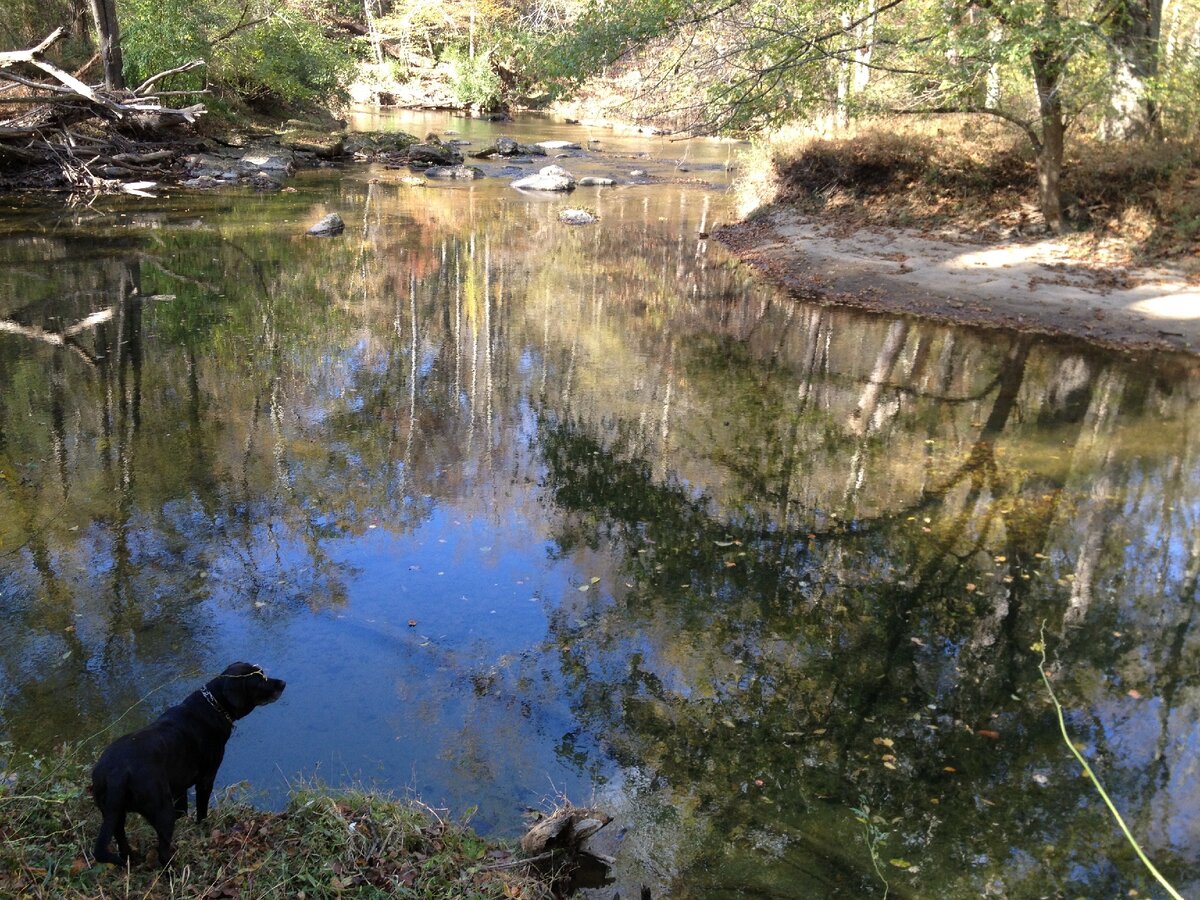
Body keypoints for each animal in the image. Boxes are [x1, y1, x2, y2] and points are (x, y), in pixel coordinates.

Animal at [91, 662, 285, 868]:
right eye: (259, 680)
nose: (283, 683)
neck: (212, 706)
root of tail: (116, 774)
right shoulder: (206, 779)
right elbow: (202, 811)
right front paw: (204, 829)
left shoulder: (179, 786)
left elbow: (183, 809)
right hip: (162, 811)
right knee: (162, 852)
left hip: (113, 814)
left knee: (122, 842)